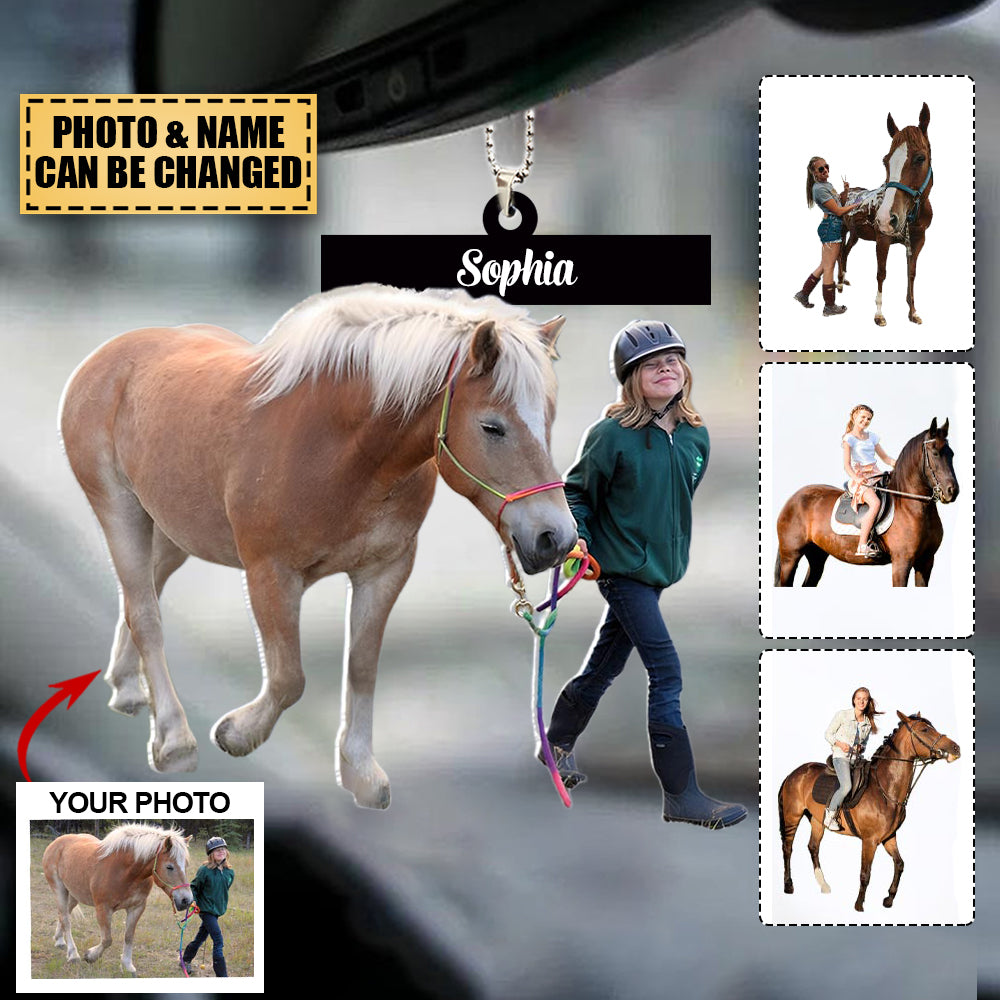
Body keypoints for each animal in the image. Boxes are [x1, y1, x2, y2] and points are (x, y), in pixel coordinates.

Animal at [42, 823, 193, 975]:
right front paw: (90, 956)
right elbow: (107, 939)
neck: (124, 872)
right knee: (66, 919)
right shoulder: (103, 909)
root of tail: (57, 842)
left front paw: (127, 965)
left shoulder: (136, 908)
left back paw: (60, 940)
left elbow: (129, 936)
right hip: (59, 890)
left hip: (74, 894)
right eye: (169, 867)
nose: (186, 900)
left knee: (64, 914)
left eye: (186, 865)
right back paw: (73, 954)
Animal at [59, 285, 577, 806]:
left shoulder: (385, 571)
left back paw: (128, 687)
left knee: (144, 592)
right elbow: (289, 678)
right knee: (145, 611)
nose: (556, 538)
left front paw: (360, 772)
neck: (338, 449)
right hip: (119, 510)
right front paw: (238, 733)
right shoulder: (270, 574)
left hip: (172, 529)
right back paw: (173, 739)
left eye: (550, 419)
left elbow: (362, 667)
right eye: (492, 426)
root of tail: (108, 356)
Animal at [774, 418, 957, 587]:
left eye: (951, 454)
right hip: (790, 557)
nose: (952, 491)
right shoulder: (902, 562)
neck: (911, 508)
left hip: (816, 556)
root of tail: (792, 499)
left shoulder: (926, 562)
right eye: (935, 453)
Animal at [778, 711, 959, 912]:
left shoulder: (889, 837)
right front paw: (859, 905)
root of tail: (793, 774)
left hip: (817, 820)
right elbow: (865, 873)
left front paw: (889, 898)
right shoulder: (869, 841)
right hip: (792, 815)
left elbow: (899, 864)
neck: (885, 788)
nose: (955, 748)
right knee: (787, 848)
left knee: (813, 847)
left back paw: (823, 885)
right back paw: (788, 885)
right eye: (924, 730)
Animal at [835, 102, 933, 326]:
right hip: (843, 229)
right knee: (839, 253)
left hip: (855, 234)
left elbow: (911, 274)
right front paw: (879, 314)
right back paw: (839, 284)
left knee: (846, 252)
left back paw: (844, 279)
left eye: (920, 158)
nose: (887, 218)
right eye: (885, 161)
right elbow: (881, 273)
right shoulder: (883, 238)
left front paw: (913, 312)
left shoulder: (918, 240)